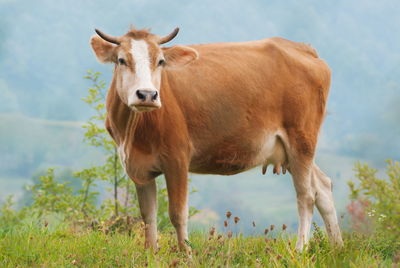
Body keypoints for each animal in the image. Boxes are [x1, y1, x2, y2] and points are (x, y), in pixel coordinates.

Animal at [90, 27, 344, 251]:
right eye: (121, 60)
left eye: (160, 61)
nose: (147, 94)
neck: (134, 132)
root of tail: (302, 48)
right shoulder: (138, 167)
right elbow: (148, 216)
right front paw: (150, 254)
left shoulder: (177, 158)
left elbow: (177, 213)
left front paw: (186, 255)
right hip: (291, 149)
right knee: (322, 186)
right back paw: (337, 247)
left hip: (301, 138)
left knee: (306, 195)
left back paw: (301, 248)